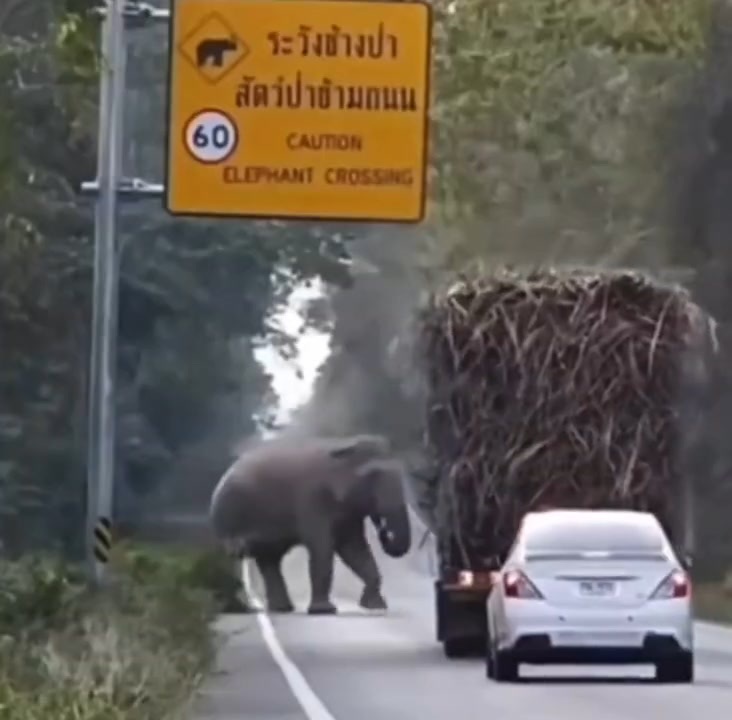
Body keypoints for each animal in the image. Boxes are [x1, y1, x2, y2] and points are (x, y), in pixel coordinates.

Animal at [208, 433, 411, 615]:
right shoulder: (311, 499)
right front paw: (324, 611)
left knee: (269, 559)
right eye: (373, 476)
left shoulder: (347, 512)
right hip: (231, 516)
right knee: (245, 554)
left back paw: (281, 608)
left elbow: (355, 549)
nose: (383, 530)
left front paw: (376, 606)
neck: (342, 445)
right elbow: (323, 548)